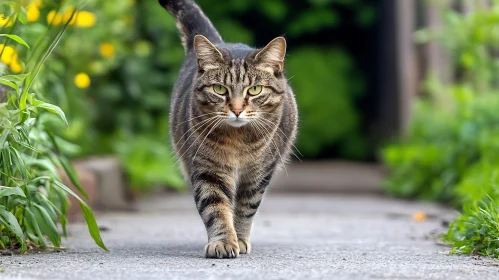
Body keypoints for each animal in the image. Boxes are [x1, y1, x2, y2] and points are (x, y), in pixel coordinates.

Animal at [160, 0, 298, 258]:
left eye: (254, 90)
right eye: (219, 89)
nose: (236, 109)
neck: (238, 141)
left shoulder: (258, 175)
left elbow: (245, 208)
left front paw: (240, 239)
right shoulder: (207, 171)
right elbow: (215, 208)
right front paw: (223, 241)